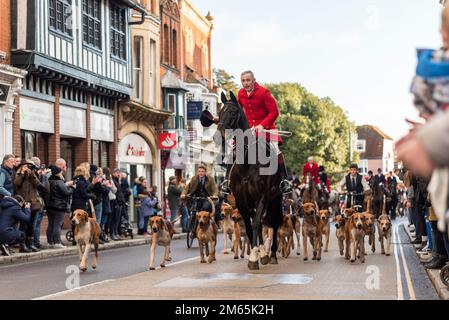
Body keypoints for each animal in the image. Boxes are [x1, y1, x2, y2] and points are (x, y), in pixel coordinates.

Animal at [216, 91, 282, 268]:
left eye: (233, 112)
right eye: (220, 112)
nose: (220, 136)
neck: (248, 162)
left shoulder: (262, 197)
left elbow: (257, 223)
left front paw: (255, 256)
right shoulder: (241, 200)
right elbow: (249, 224)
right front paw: (256, 254)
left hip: (275, 199)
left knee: (274, 223)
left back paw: (272, 254)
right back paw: (263, 253)